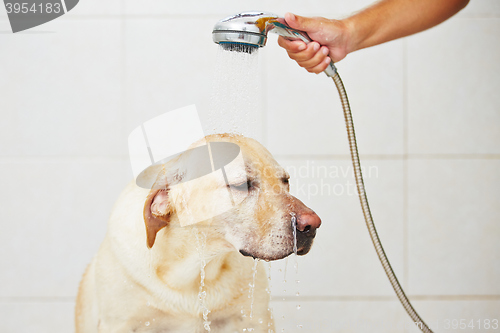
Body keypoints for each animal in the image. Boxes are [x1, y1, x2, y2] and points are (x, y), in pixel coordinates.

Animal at [76, 134, 322, 330]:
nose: (312, 225)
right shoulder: (119, 323)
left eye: (285, 181)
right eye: (242, 185)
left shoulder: (256, 319)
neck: (193, 267)